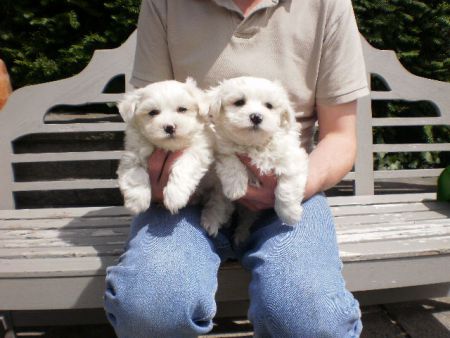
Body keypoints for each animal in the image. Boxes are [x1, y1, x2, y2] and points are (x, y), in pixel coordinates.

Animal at [117, 79, 214, 215]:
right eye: (153, 112)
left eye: (182, 109)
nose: (169, 127)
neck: (168, 147)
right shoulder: (132, 154)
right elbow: (135, 174)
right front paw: (137, 202)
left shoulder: (198, 150)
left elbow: (184, 165)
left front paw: (175, 197)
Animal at [205, 76, 308, 243]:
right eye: (239, 102)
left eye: (269, 106)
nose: (256, 117)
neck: (255, 145)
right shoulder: (222, 150)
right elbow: (231, 162)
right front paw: (236, 189)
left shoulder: (292, 160)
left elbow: (286, 189)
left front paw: (290, 215)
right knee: (218, 204)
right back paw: (212, 221)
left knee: (246, 219)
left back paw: (240, 235)